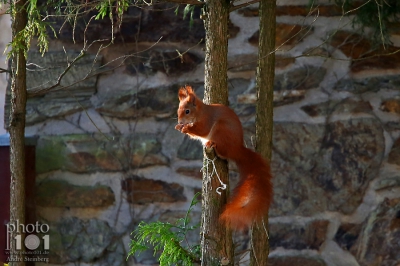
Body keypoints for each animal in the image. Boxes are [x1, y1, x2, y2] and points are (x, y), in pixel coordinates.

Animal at [174, 85, 272, 231]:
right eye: (178, 110)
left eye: (187, 111)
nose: (180, 121)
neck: (201, 112)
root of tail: (237, 150)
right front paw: (179, 127)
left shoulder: (207, 121)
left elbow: (201, 130)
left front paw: (185, 128)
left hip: (221, 130)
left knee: (222, 151)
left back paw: (212, 144)